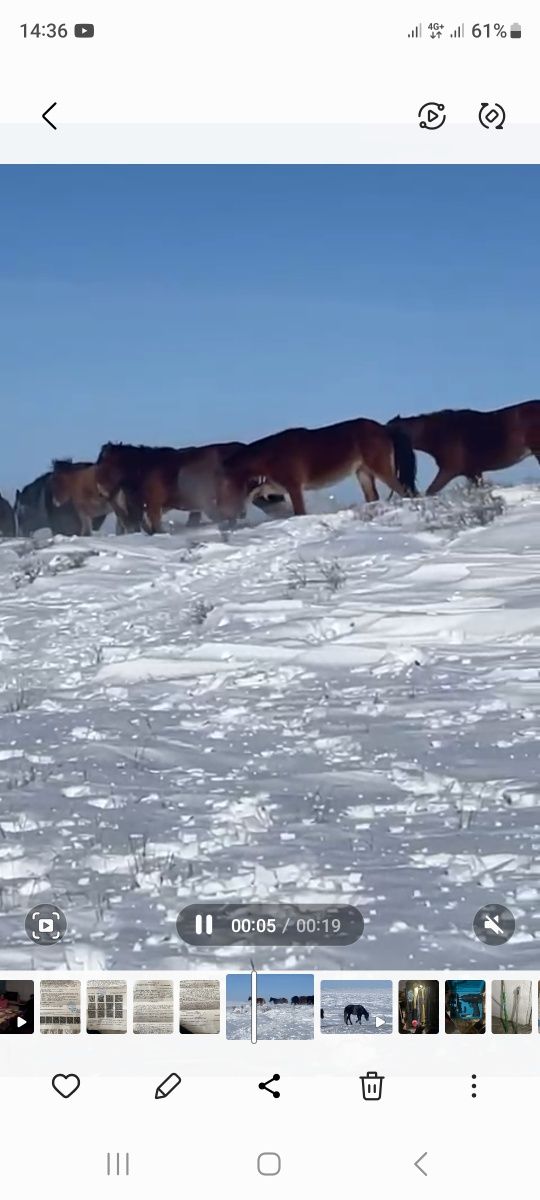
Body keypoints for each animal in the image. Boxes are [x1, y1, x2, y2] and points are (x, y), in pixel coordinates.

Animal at [213, 417, 415, 520]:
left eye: (225, 487)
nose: (222, 510)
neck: (270, 456)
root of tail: (383, 428)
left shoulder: (294, 487)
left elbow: (299, 512)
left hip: (380, 469)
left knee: (404, 490)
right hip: (363, 473)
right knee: (373, 496)